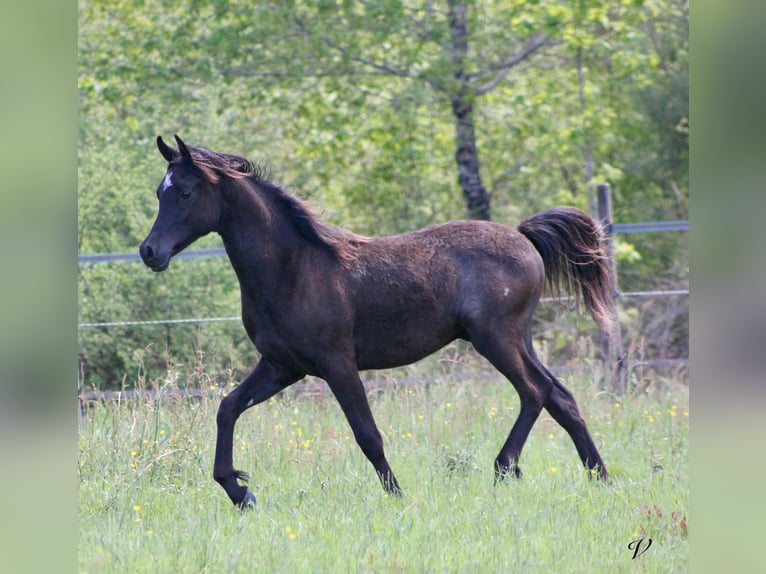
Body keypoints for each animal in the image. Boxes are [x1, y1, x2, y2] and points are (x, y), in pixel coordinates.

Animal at [140, 135, 615, 509]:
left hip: (495, 338)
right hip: (519, 339)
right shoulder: (281, 366)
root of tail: (522, 236)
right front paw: (240, 492)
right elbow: (227, 408)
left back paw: (503, 469)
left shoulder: (336, 364)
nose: (149, 252)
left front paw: (397, 496)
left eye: (185, 192)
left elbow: (367, 434)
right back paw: (601, 478)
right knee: (561, 397)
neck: (294, 268)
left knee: (534, 392)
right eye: (160, 192)